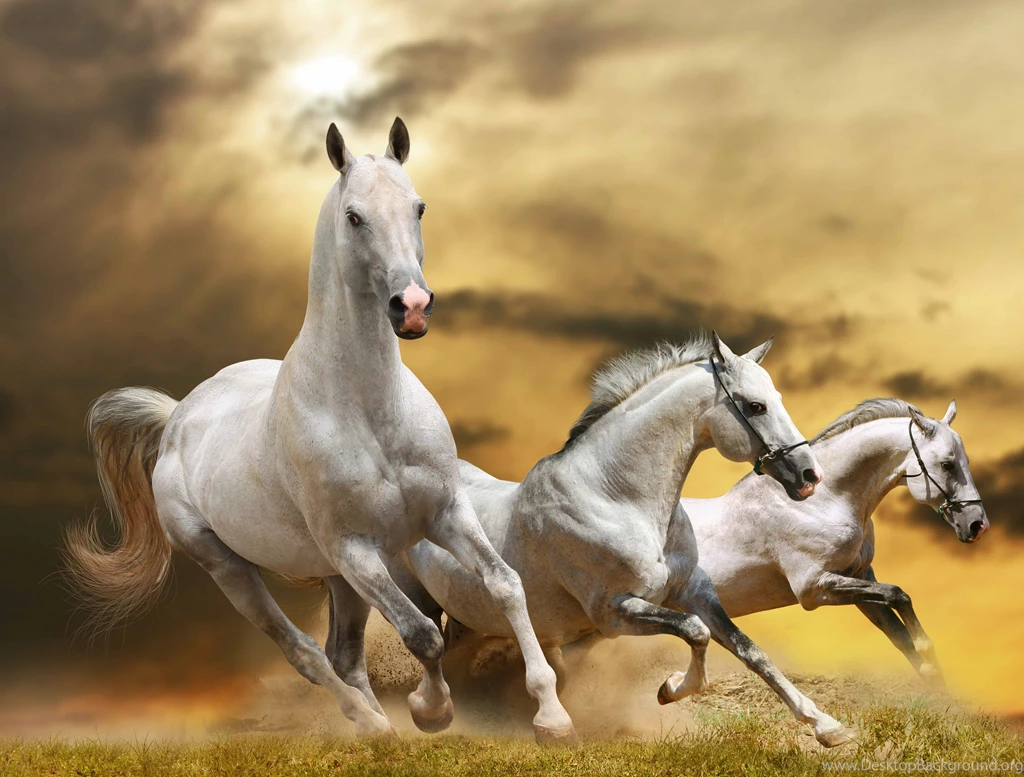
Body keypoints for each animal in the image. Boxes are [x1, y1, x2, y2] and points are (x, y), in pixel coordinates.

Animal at [63, 118, 575, 742]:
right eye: (354, 216)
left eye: (419, 207)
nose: (412, 307)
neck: (371, 414)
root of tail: (179, 415)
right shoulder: (356, 549)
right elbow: (423, 632)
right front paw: (431, 711)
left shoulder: (444, 515)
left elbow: (504, 584)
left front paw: (551, 715)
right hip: (233, 568)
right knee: (304, 652)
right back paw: (371, 722)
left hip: (337, 579)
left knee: (343, 655)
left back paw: (378, 724)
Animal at [395, 332, 856, 746]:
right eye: (755, 406)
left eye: (776, 396)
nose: (809, 476)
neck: (617, 498)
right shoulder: (615, 612)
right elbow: (696, 633)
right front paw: (672, 688)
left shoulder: (693, 590)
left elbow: (749, 650)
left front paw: (828, 727)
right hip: (417, 597)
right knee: (422, 642)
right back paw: (432, 711)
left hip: (468, 618)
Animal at [682, 398, 988, 681]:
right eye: (947, 465)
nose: (978, 525)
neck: (824, 501)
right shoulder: (814, 587)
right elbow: (898, 595)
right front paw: (928, 652)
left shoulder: (859, 577)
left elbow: (900, 636)